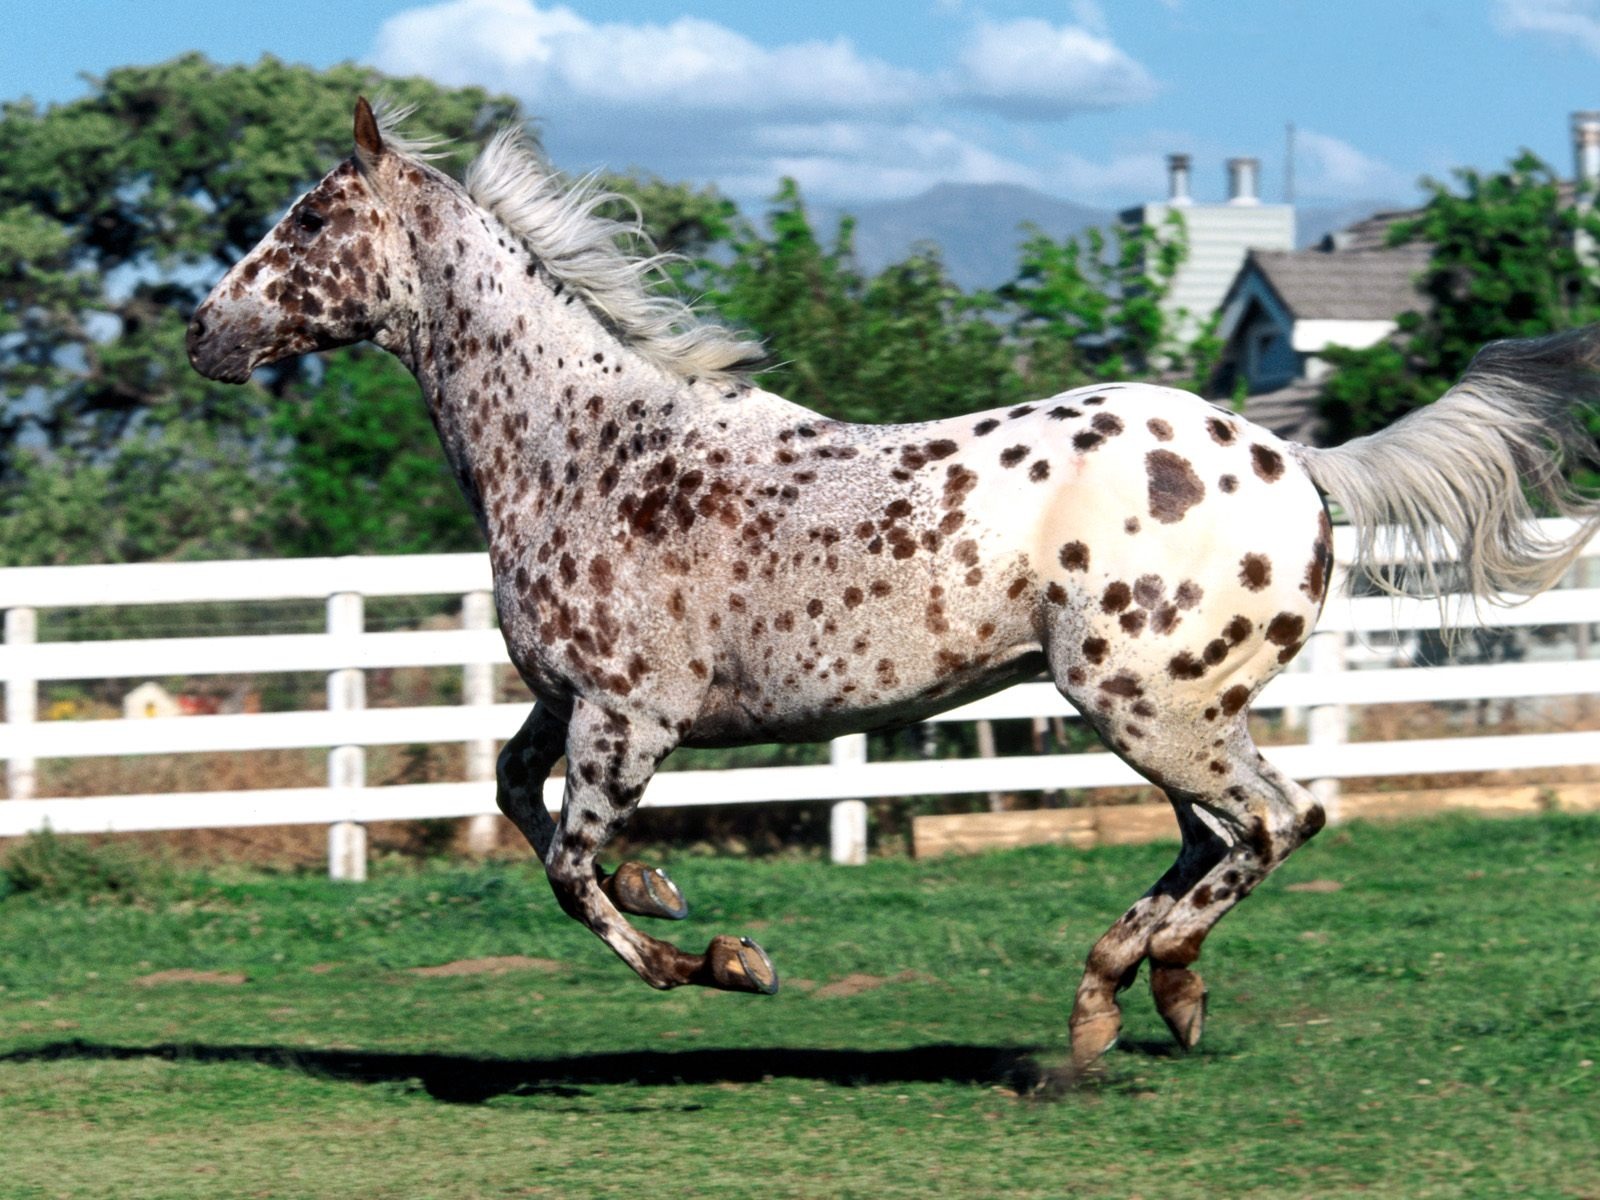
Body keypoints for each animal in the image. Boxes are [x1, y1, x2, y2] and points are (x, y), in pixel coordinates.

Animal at [190, 101, 1600, 1081]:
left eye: (307, 221)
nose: (204, 332)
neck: (583, 447)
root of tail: (1295, 461)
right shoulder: (561, 701)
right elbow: (514, 802)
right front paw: (670, 895)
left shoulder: (628, 718)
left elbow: (574, 873)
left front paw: (729, 959)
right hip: (1175, 711)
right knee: (1222, 837)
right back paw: (1130, 997)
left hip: (1146, 704)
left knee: (1273, 822)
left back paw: (1135, 989)